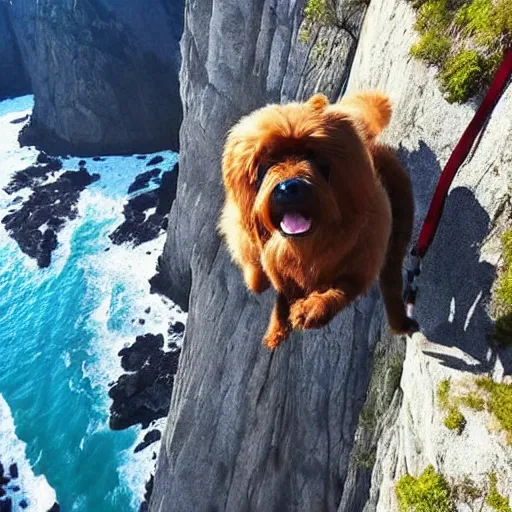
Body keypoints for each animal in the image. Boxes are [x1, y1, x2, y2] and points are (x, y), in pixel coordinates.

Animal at [218, 91, 418, 348]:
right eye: (266, 165)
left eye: (313, 157)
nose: (289, 188)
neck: (305, 247)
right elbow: (280, 291)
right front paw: (278, 324)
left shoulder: (360, 260)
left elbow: (343, 289)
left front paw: (313, 309)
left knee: (392, 278)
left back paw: (400, 320)